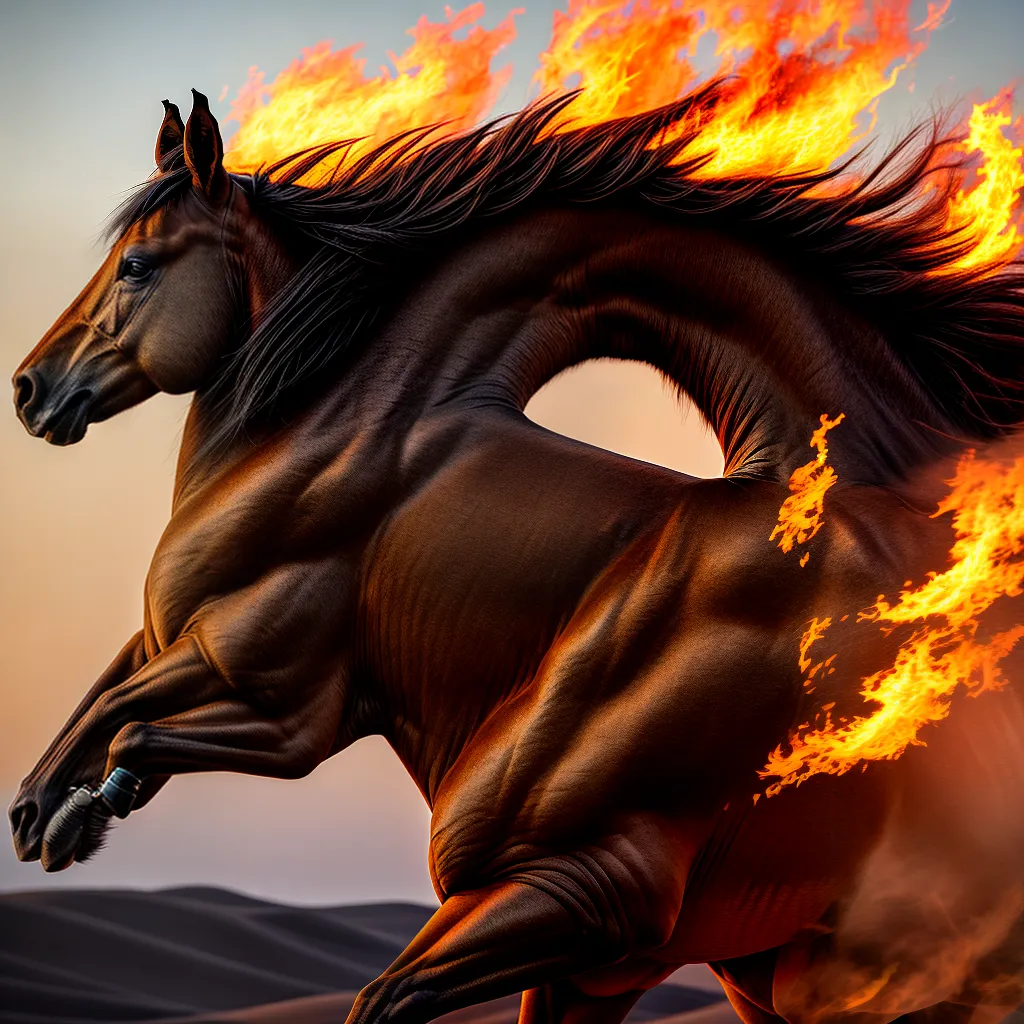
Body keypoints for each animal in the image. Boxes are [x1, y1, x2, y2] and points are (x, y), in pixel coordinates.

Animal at [10, 87, 1024, 1024]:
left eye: (137, 265)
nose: (30, 388)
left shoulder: (291, 696)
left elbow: (132, 716)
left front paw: (77, 808)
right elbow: (114, 701)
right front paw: (54, 808)